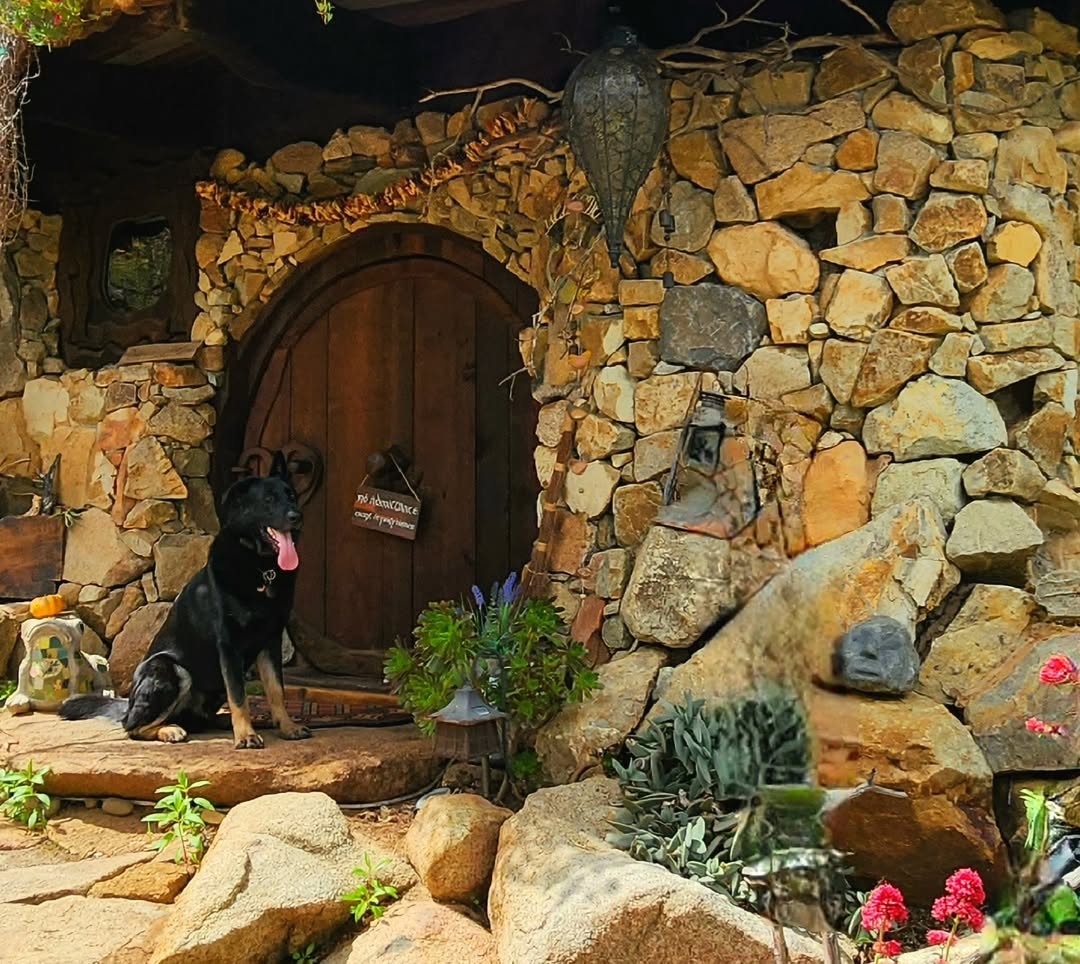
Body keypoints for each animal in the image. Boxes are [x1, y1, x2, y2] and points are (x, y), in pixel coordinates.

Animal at [61, 451, 311, 750]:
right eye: (269, 500)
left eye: (291, 496)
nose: (297, 516)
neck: (260, 566)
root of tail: (128, 704)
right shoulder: (228, 645)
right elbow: (239, 696)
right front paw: (246, 736)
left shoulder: (270, 640)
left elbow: (276, 690)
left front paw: (286, 726)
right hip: (170, 669)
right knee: (132, 727)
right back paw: (170, 730)